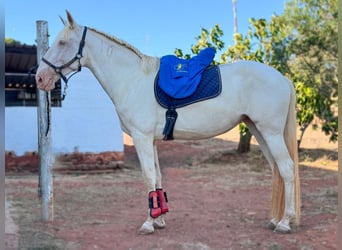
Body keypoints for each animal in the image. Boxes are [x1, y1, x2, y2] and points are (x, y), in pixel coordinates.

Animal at [36, 11, 300, 234]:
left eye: (62, 43)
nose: (39, 78)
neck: (132, 79)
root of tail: (282, 78)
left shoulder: (141, 137)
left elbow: (148, 176)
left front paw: (148, 223)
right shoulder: (150, 140)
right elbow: (157, 177)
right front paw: (160, 218)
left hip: (270, 132)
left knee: (287, 169)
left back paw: (285, 222)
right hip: (259, 130)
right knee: (277, 170)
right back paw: (275, 219)